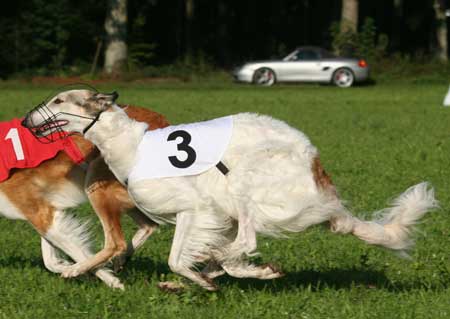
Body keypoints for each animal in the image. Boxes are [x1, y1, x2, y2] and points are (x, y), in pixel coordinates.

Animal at [0, 103, 169, 290]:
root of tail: (161, 119)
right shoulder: (46, 211)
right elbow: (51, 261)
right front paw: (69, 267)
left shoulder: (39, 213)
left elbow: (77, 253)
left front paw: (110, 281)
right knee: (149, 225)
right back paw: (119, 261)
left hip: (98, 183)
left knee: (118, 242)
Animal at [22, 90, 438, 292]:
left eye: (59, 99)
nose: (25, 120)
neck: (132, 146)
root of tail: (322, 184)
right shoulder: (212, 218)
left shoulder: (194, 209)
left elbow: (177, 257)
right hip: (237, 209)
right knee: (233, 254)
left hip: (245, 184)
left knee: (244, 243)